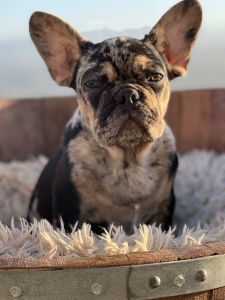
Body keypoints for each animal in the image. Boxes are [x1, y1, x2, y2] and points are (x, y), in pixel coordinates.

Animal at [27, 0, 202, 234]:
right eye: (92, 83)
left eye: (155, 76)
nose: (127, 94)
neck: (128, 158)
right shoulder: (70, 215)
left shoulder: (162, 211)